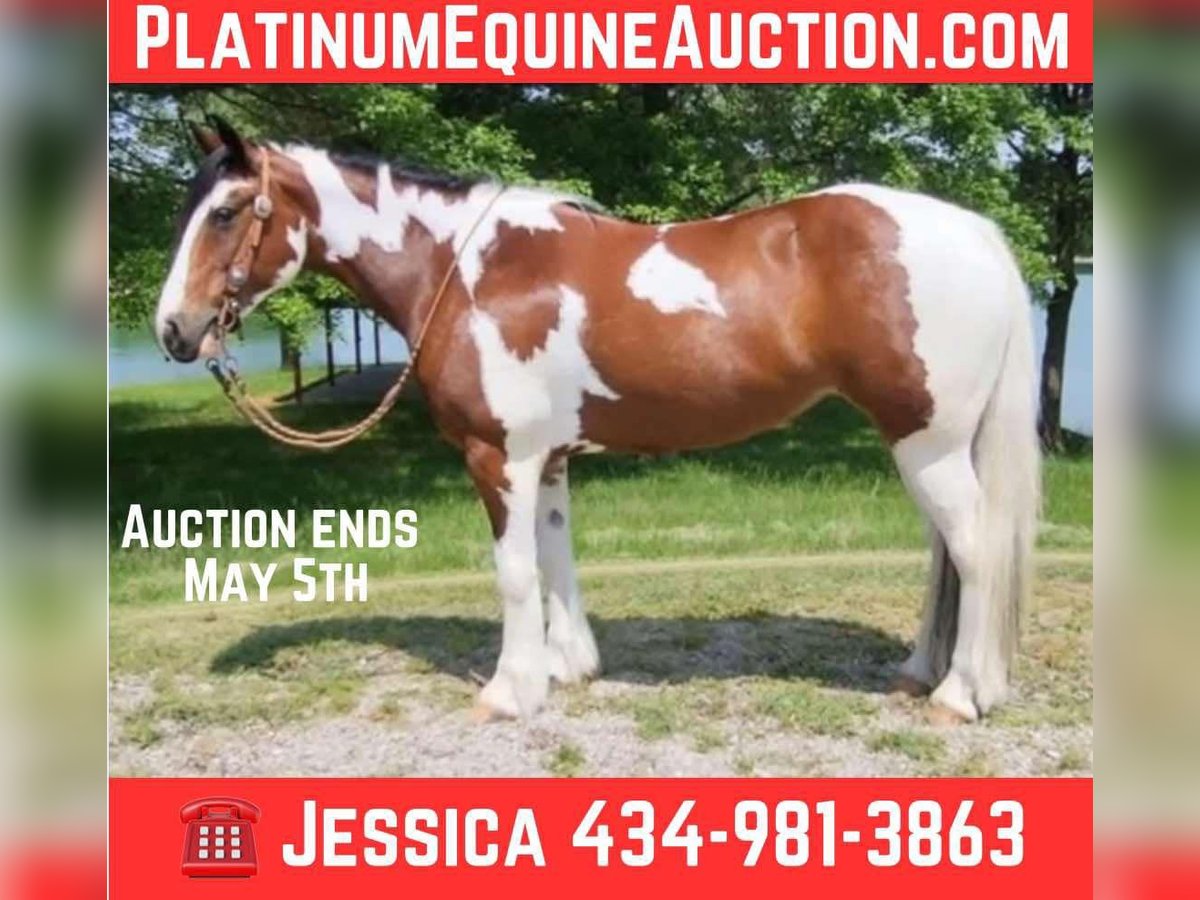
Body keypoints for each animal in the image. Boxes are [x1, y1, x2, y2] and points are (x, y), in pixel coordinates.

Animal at [154, 117, 1040, 724]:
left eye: (229, 211)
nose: (173, 330)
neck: (468, 271)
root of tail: (975, 233)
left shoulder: (497, 456)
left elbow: (514, 571)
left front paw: (509, 692)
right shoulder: (544, 458)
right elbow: (555, 557)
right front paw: (565, 666)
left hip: (926, 443)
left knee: (975, 551)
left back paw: (961, 694)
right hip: (932, 446)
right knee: (947, 557)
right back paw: (922, 673)